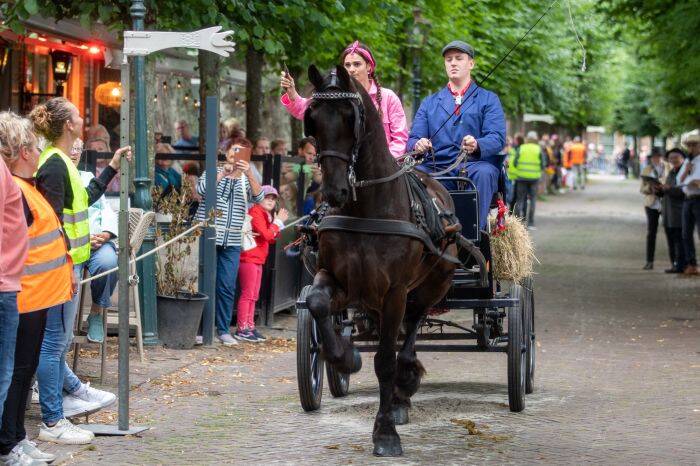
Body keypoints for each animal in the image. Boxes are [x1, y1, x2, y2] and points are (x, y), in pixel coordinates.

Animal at [302, 64, 456, 456]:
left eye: (350, 118)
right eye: (313, 119)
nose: (334, 191)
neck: (367, 208)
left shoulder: (394, 292)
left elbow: (385, 360)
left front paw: (385, 432)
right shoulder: (338, 279)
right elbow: (317, 304)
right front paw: (345, 357)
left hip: (431, 286)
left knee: (412, 329)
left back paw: (405, 384)